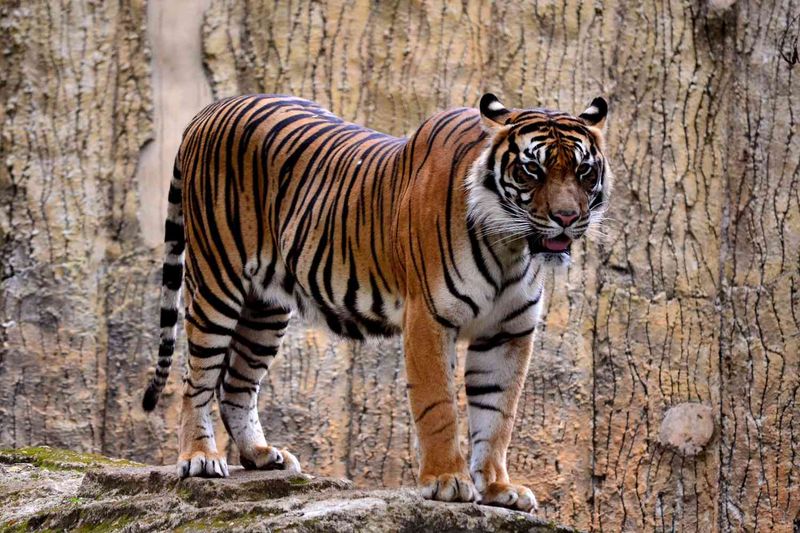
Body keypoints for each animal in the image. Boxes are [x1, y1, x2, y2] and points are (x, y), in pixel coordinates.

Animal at [141, 91, 608, 512]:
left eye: (584, 171)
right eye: (532, 169)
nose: (567, 217)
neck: (510, 245)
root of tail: (211, 109)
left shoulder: (508, 332)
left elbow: (497, 415)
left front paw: (498, 488)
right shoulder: (429, 318)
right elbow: (439, 405)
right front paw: (446, 481)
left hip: (265, 307)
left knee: (236, 382)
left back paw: (260, 455)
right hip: (216, 280)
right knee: (197, 377)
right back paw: (200, 459)